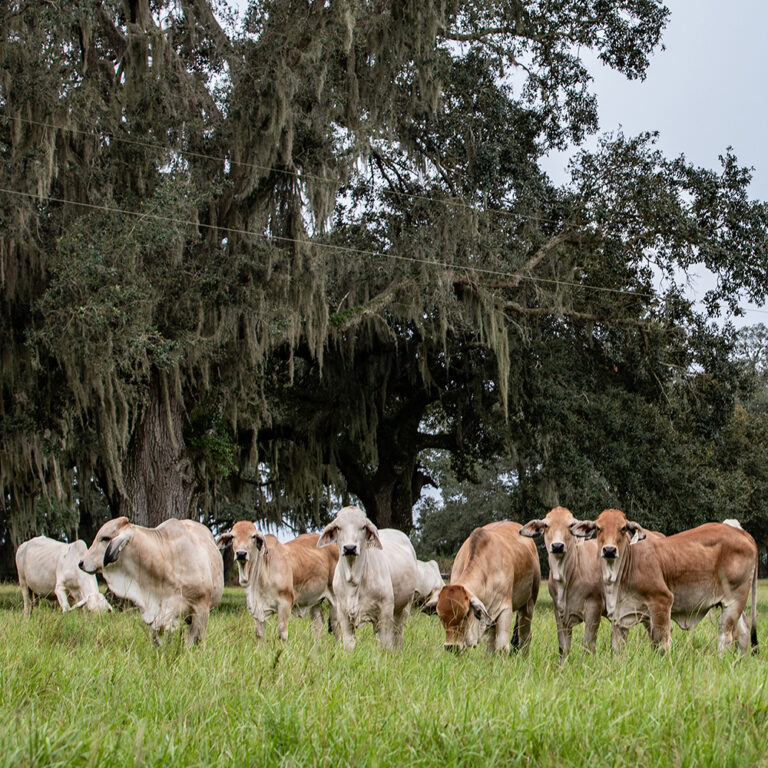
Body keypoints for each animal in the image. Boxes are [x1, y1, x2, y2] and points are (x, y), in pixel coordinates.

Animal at [318, 505, 419, 650]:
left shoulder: (385, 611)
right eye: (338, 527)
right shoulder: (342, 612)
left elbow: (386, 644)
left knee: (398, 634)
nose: (350, 548)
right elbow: (349, 644)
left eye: (363, 527)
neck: (354, 579)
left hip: (404, 606)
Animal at [436, 521, 540, 654]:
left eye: (465, 614)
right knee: (490, 642)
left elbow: (502, 648)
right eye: (440, 616)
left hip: (529, 603)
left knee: (525, 636)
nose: (451, 646)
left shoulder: (505, 609)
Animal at [571, 508, 758, 654]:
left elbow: (662, 644)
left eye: (623, 528)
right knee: (743, 632)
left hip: (734, 600)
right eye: (598, 528)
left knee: (725, 635)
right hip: (734, 603)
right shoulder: (619, 618)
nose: (609, 550)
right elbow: (616, 649)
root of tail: (742, 533)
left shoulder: (661, 602)